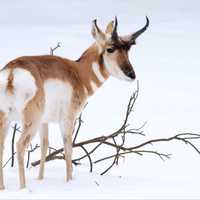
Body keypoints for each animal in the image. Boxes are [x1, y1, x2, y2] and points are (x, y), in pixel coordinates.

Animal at [0, 16, 149, 189]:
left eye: (127, 49)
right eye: (110, 49)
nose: (131, 74)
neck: (79, 72)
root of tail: (12, 73)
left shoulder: (45, 122)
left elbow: (44, 146)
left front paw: (40, 179)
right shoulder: (67, 120)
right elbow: (68, 148)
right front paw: (69, 181)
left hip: (8, 120)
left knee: (2, 146)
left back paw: (3, 188)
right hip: (31, 122)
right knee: (20, 146)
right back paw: (23, 188)